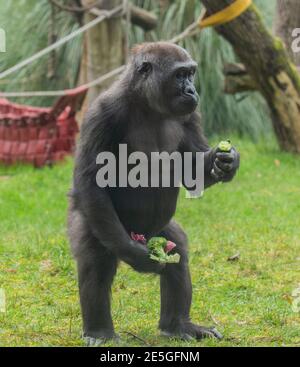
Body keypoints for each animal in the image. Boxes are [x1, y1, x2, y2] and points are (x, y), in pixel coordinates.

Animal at [68, 42, 239, 344]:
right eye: (180, 75)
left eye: (191, 74)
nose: (192, 90)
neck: (145, 102)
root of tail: (139, 234)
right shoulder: (102, 112)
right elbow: (92, 181)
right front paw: (135, 256)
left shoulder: (190, 113)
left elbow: (192, 169)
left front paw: (225, 161)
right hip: (104, 225)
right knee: (95, 257)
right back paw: (100, 331)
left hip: (155, 232)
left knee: (177, 248)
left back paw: (178, 325)